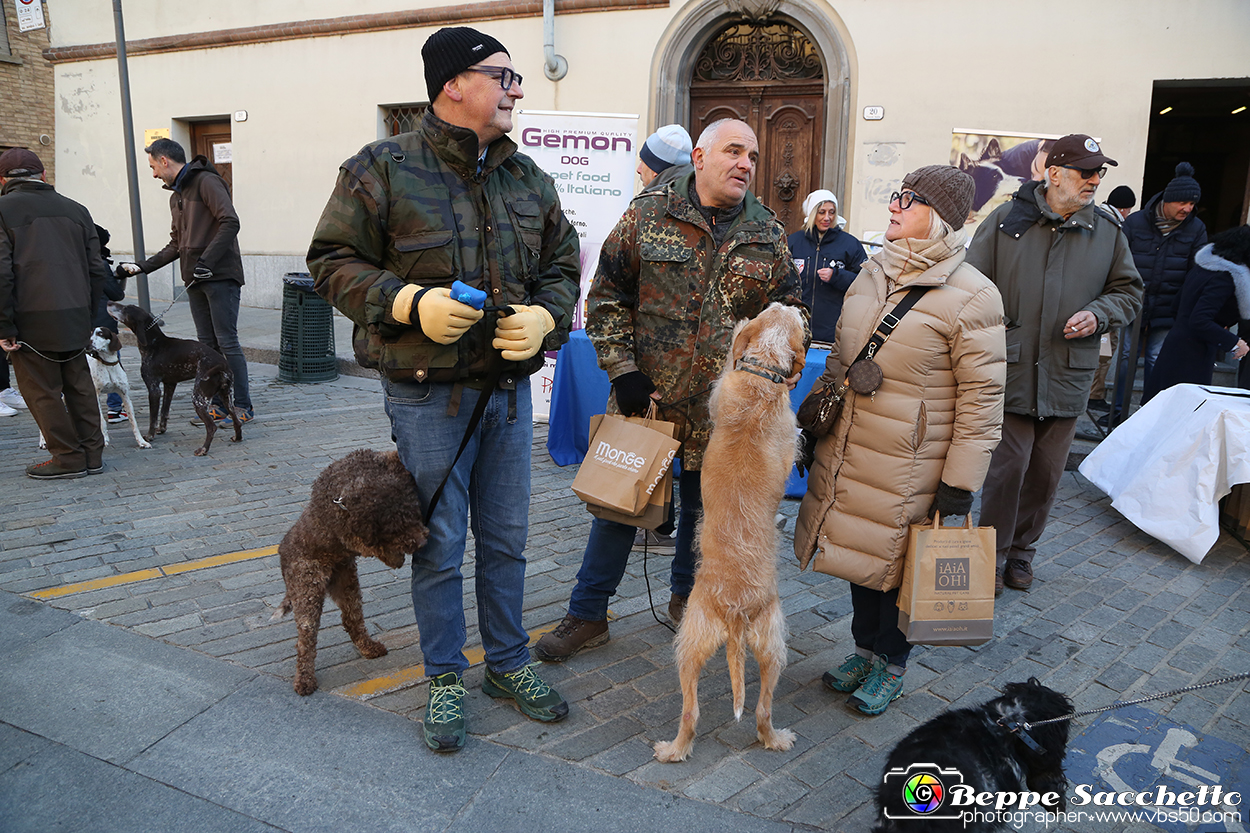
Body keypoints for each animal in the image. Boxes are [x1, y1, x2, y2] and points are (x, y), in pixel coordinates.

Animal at [107, 298, 241, 455]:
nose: (109, 302)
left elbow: (153, 417)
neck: (154, 343)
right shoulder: (170, 385)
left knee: (211, 426)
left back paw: (203, 449)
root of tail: (222, 365)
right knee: (236, 420)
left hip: (199, 398)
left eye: (126, 308)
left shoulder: (154, 389)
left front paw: (150, 436)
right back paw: (237, 438)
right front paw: (161, 429)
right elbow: (164, 411)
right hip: (226, 396)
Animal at [650, 301, 805, 760]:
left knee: (699, 712)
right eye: (777, 309)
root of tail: (736, 610)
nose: (794, 302)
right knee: (754, 711)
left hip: (700, 640)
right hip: (768, 645)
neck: (762, 374)